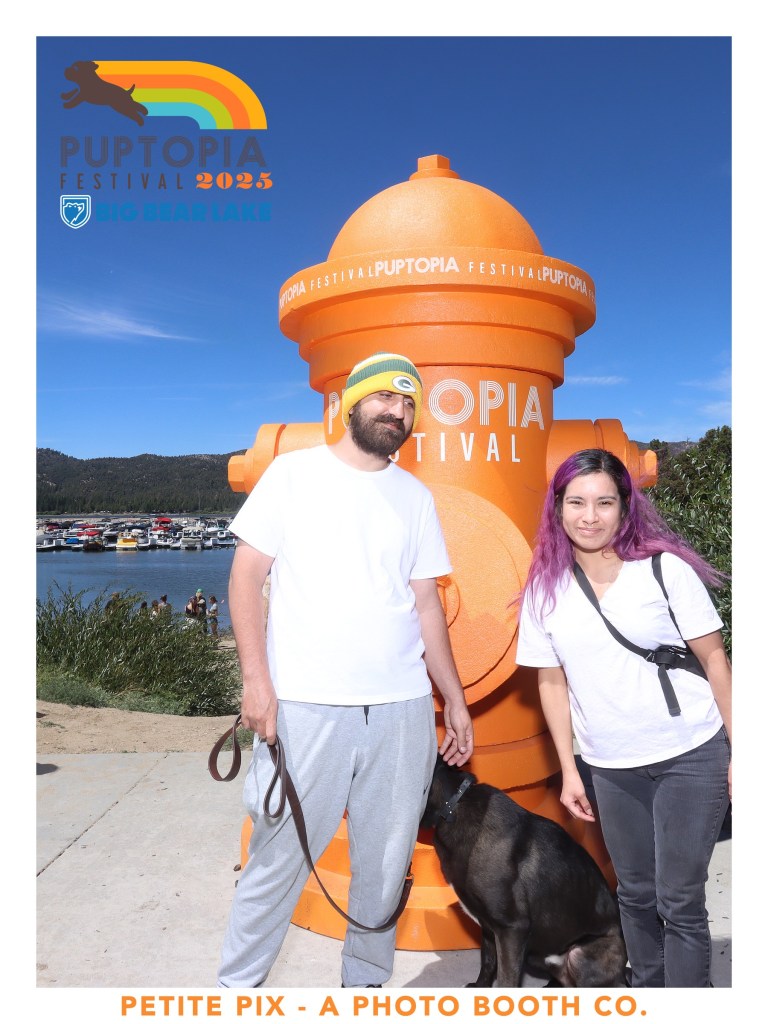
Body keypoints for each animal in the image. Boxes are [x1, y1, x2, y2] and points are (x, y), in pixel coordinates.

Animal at [421, 759, 626, 987]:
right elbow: (488, 960)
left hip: (579, 955)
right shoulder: (489, 928)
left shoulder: (512, 928)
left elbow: (506, 980)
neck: (454, 805)